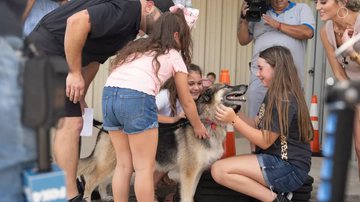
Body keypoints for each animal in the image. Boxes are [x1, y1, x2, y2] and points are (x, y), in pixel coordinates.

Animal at [77, 83, 249, 200]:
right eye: (227, 86)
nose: (246, 85)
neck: (207, 121)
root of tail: (104, 127)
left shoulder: (197, 173)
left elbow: (192, 194)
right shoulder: (189, 174)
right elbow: (187, 197)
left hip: (118, 165)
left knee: (103, 182)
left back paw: (105, 196)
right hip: (110, 163)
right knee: (91, 181)